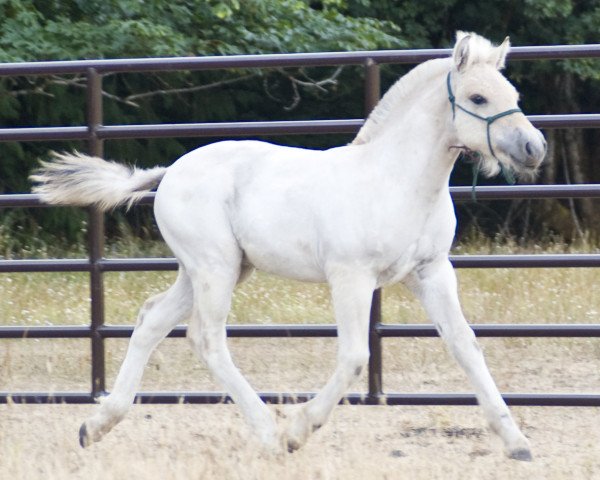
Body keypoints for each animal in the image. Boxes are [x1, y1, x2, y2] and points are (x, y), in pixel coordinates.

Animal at [31, 31, 544, 460]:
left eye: (514, 96)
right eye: (478, 97)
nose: (533, 148)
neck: (396, 180)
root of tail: (170, 172)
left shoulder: (432, 271)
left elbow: (465, 345)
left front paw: (517, 442)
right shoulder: (351, 276)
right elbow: (355, 356)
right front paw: (300, 429)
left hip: (211, 270)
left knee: (152, 319)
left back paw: (96, 424)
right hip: (215, 268)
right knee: (206, 338)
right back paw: (270, 433)